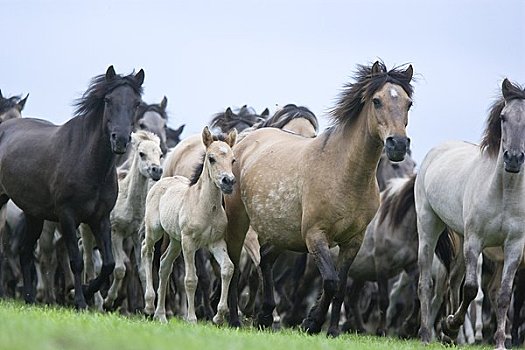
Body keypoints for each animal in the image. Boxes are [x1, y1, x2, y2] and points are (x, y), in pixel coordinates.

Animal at [0, 65, 144, 308]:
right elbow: (76, 261)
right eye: (108, 100)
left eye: (136, 103)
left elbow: (108, 264)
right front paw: (79, 300)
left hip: (34, 214)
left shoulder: (100, 218)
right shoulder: (67, 216)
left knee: (25, 252)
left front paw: (87, 291)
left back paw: (29, 297)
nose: (120, 140)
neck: (88, 161)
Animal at [79, 130, 162, 310]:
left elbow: (141, 271)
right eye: (142, 153)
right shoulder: (115, 232)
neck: (128, 201)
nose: (157, 170)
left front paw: (147, 309)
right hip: (86, 228)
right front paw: (109, 300)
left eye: (160, 154)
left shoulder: (137, 235)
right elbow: (119, 269)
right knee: (88, 261)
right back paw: (96, 301)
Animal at [141, 127, 235, 324]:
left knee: (164, 265)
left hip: (176, 241)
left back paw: (161, 315)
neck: (204, 206)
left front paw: (219, 316)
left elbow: (228, 268)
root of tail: (163, 179)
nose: (228, 182)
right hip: (155, 230)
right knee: (147, 250)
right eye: (211, 158)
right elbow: (191, 279)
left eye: (233, 160)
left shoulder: (216, 242)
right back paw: (149, 305)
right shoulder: (190, 243)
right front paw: (191, 318)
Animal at [224, 60, 414, 334]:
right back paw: (234, 319)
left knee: (266, 260)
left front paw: (329, 328)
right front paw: (311, 322)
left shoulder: (353, 241)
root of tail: (245, 140)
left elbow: (341, 286)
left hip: (283, 232)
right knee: (234, 267)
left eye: (409, 103)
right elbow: (331, 281)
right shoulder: (315, 236)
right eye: (377, 101)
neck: (342, 172)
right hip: (240, 223)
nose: (397, 145)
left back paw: (266, 316)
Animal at [416, 78, 524, 348]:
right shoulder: (476, 241)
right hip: (429, 226)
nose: (513, 159)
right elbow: (472, 289)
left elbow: (503, 294)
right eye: (504, 117)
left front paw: (500, 342)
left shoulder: (514, 246)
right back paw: (426, 335)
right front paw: (451, 325)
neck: (502, 193)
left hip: (460, 236)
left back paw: (449, 336)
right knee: (426, 283)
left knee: (453, 281)